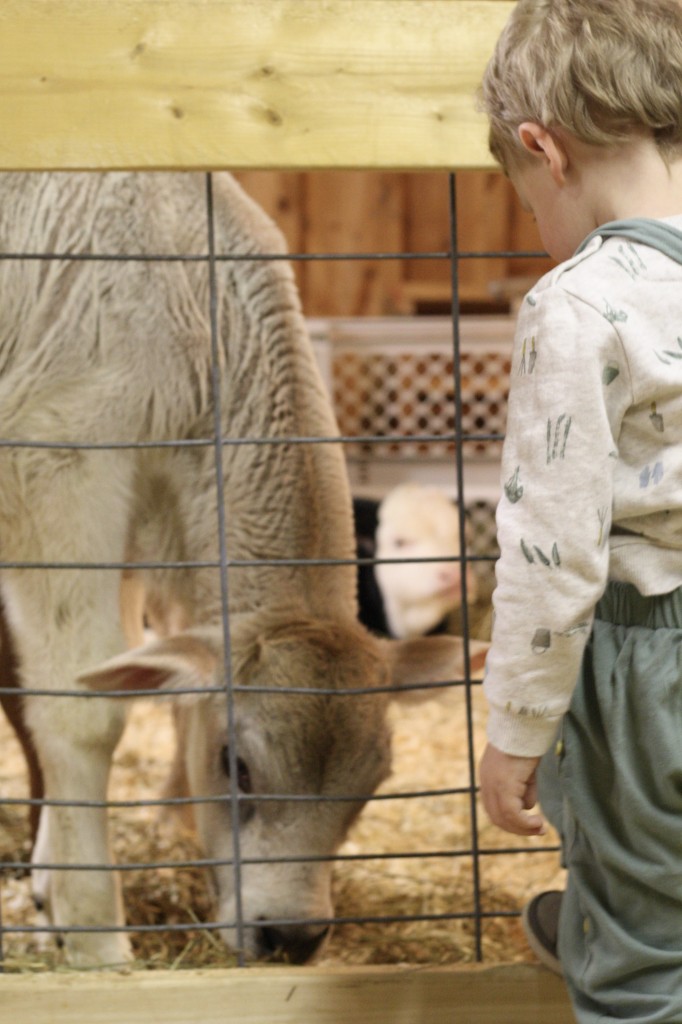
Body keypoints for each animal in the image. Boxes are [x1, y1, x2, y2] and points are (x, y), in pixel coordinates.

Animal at [0, 172, 475, 962]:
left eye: (374, 782)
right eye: (237, 767)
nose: (292, 934)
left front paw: (53, 885)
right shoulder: (57, 468)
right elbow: (79, 707)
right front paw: (97, 935)